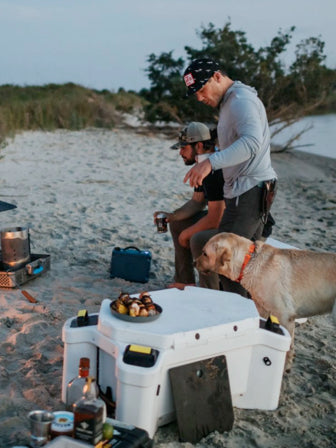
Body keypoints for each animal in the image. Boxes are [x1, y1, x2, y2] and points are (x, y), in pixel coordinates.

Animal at [196, 233, 334, 366]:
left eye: (205, 253)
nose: (193, 262)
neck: (248, 262)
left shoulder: (285, 316)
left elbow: (288, 350)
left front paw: (285, 368)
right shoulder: (263, 311)